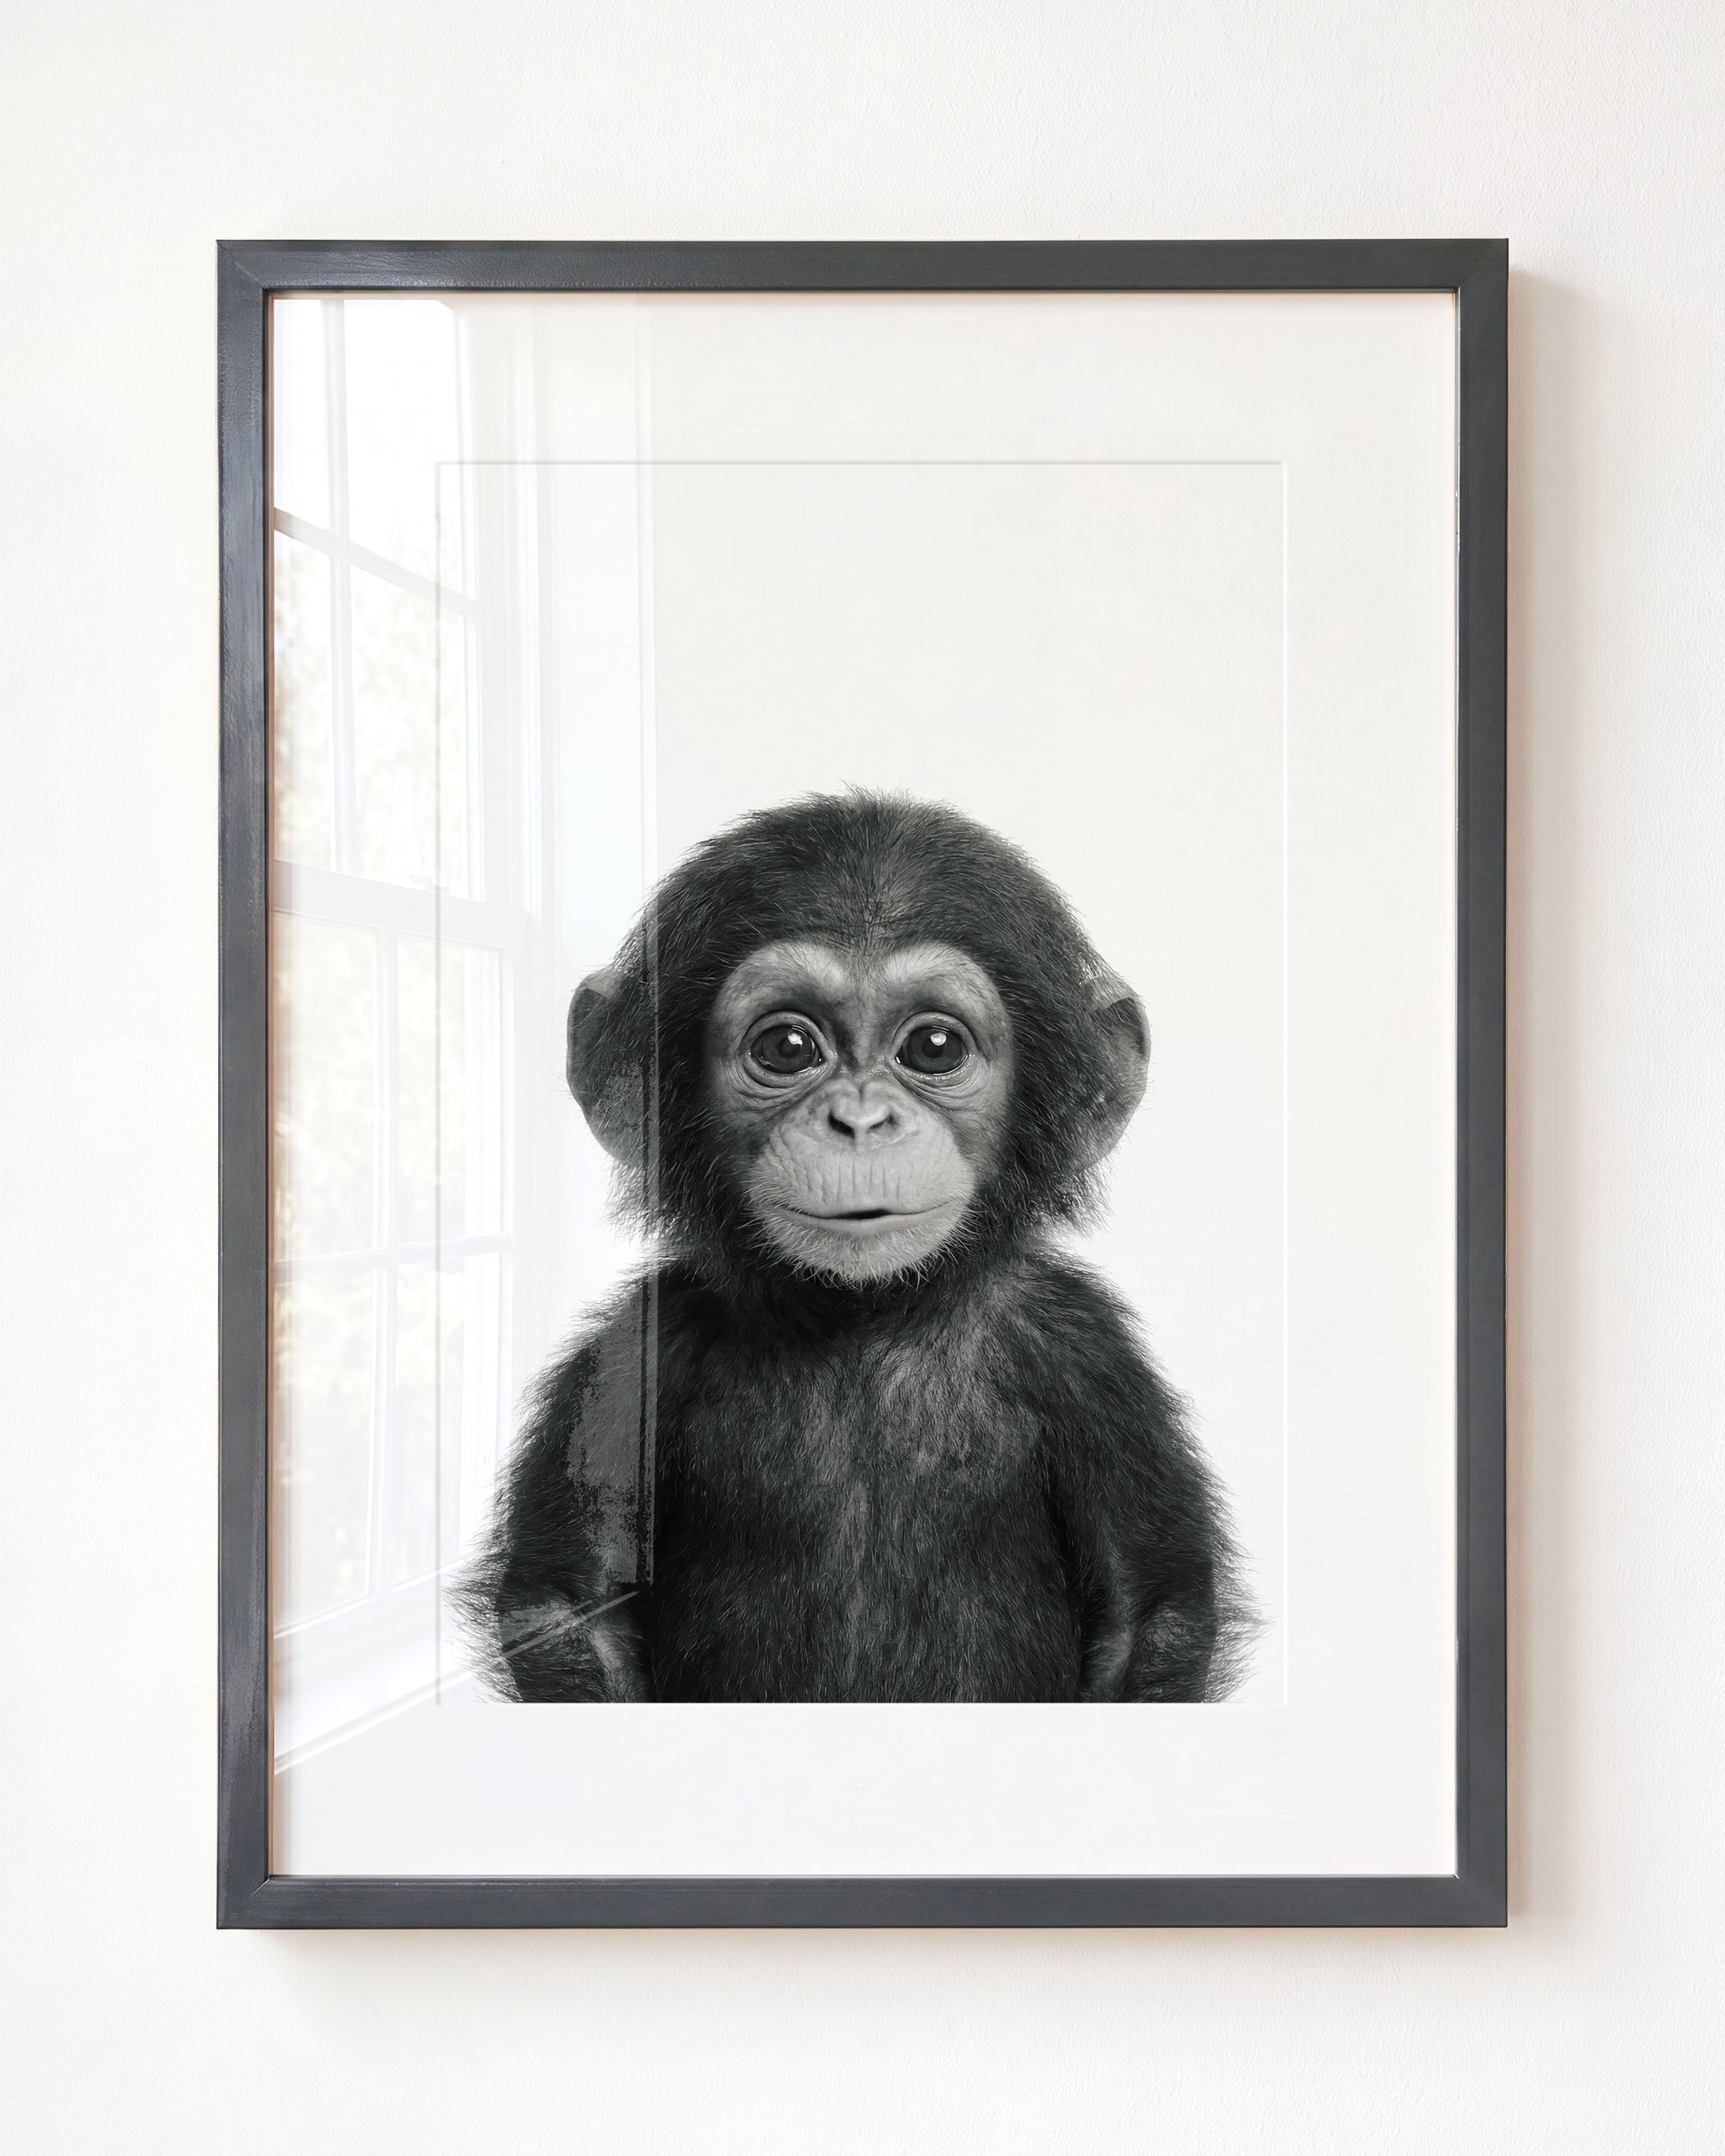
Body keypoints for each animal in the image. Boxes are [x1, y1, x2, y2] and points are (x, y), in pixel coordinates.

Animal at [458, 792, 1252, 1703]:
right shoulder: (635, 1352)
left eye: (934, 1048)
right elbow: (571, 1607)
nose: (862, 1121)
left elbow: (1148, 1612)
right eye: (786, 1048)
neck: (865, 1316)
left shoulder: (1085, 1352)